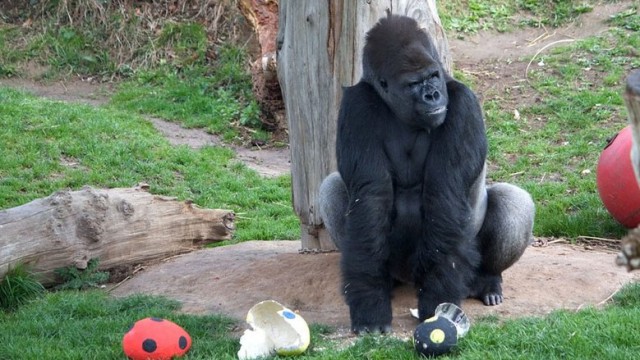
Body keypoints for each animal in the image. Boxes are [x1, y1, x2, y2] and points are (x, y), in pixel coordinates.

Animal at [320, 14, 536, 334]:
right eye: (413, 83)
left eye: (433, 77)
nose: (433, 95)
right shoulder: (356, 105)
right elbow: (370, 197)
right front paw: (369, 301)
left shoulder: (463, 105)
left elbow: (445, 196)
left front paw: (437, 306)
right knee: (332, 189)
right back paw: (386, 282)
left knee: (513, 201)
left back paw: (487, 280)